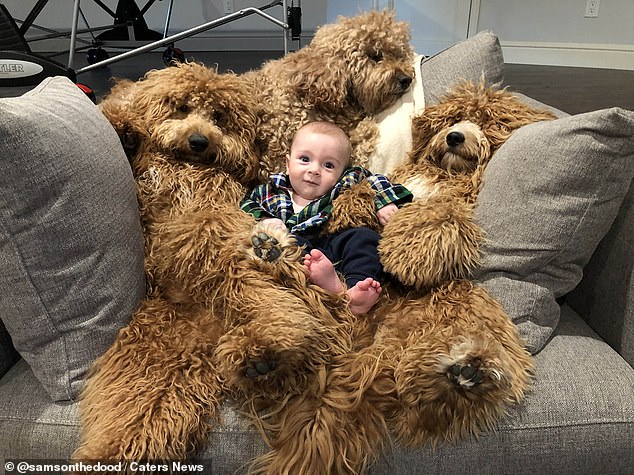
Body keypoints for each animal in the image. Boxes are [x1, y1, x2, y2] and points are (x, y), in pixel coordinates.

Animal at [72, 61, 356, 466]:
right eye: (181, 108)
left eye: (219, 117)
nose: (199, 141)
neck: (184, 164)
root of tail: (210, 331)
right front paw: (123, 127)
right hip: (155, 360)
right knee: (139, 416)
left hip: (243, 275)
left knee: (290, 313)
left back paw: (267, 344)